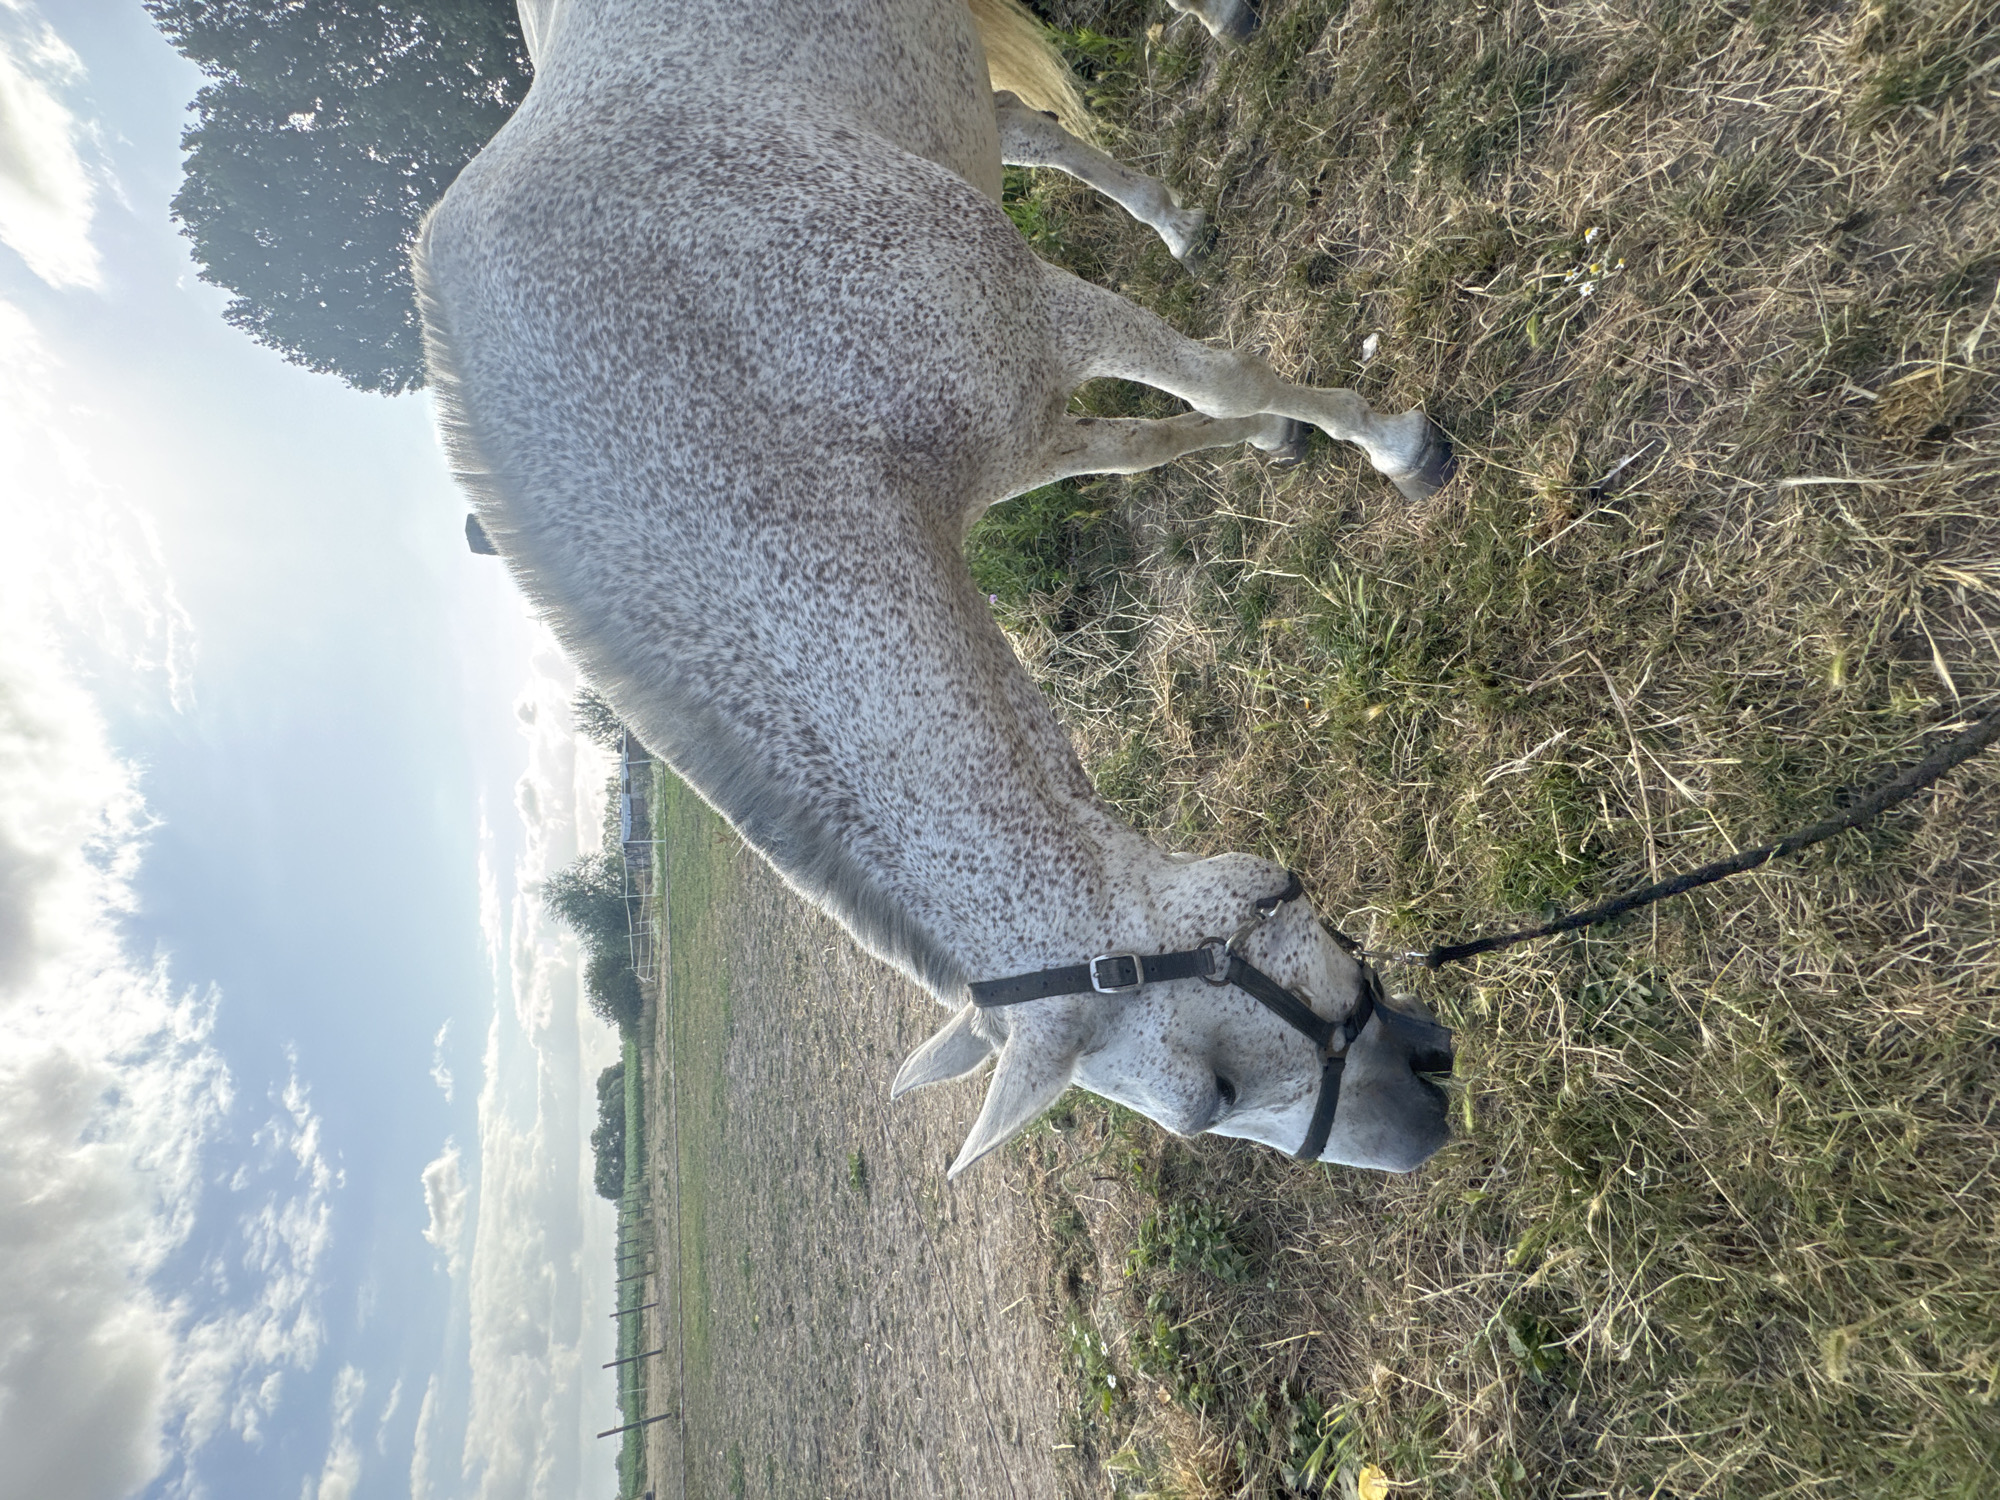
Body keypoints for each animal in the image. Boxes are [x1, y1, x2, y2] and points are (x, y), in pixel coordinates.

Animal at [415, 0, 1457, 1177]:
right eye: (1208, 1103)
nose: (1419, 1133)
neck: (728, 378)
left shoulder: (1036, 312)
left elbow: (1220, 378)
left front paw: (1393, 445)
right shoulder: (1013, 443)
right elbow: (1148, 442)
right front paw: (1278, 436)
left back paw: (1223, 30)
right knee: (1018, 123)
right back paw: (1177, 224)